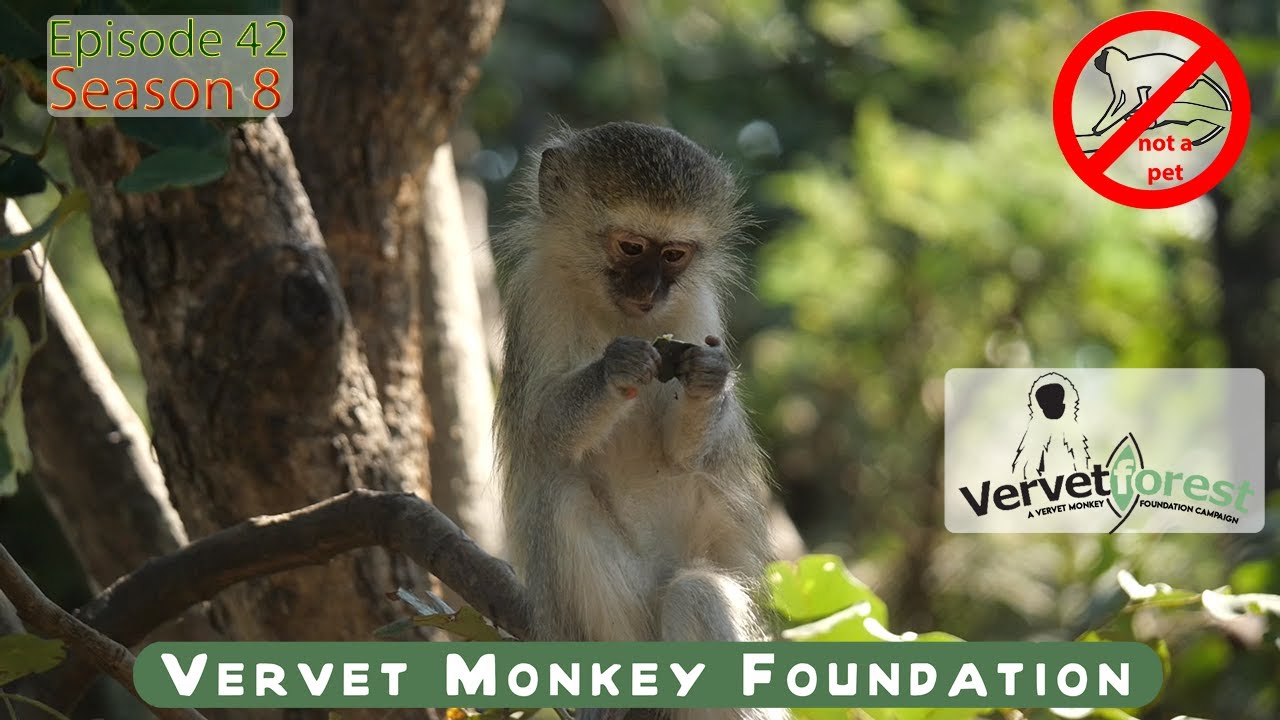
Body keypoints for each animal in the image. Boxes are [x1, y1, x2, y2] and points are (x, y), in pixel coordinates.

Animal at [493, 122, 780, 720]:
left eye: (673, 254)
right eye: (630, 247)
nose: (648, 292)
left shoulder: (697, 307)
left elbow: (684, 453)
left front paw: (709, 380)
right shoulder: (537, 294)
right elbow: (542, 428)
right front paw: (616, 368)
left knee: (697, 592)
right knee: (564, 500)